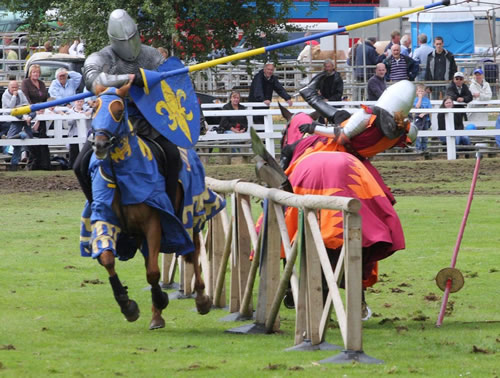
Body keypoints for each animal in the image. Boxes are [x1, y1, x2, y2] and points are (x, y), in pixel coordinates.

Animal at [80, 81, 225, 330]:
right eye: (94, 108)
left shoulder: (155, 224)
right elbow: (108, 258)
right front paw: (127, 305)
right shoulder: (105, 218)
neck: (123, 176)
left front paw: (160, 299)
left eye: (119, 111)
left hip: (190, 217)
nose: (99, 144)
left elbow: (154, 273)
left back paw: (201, 299)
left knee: (193, 252)